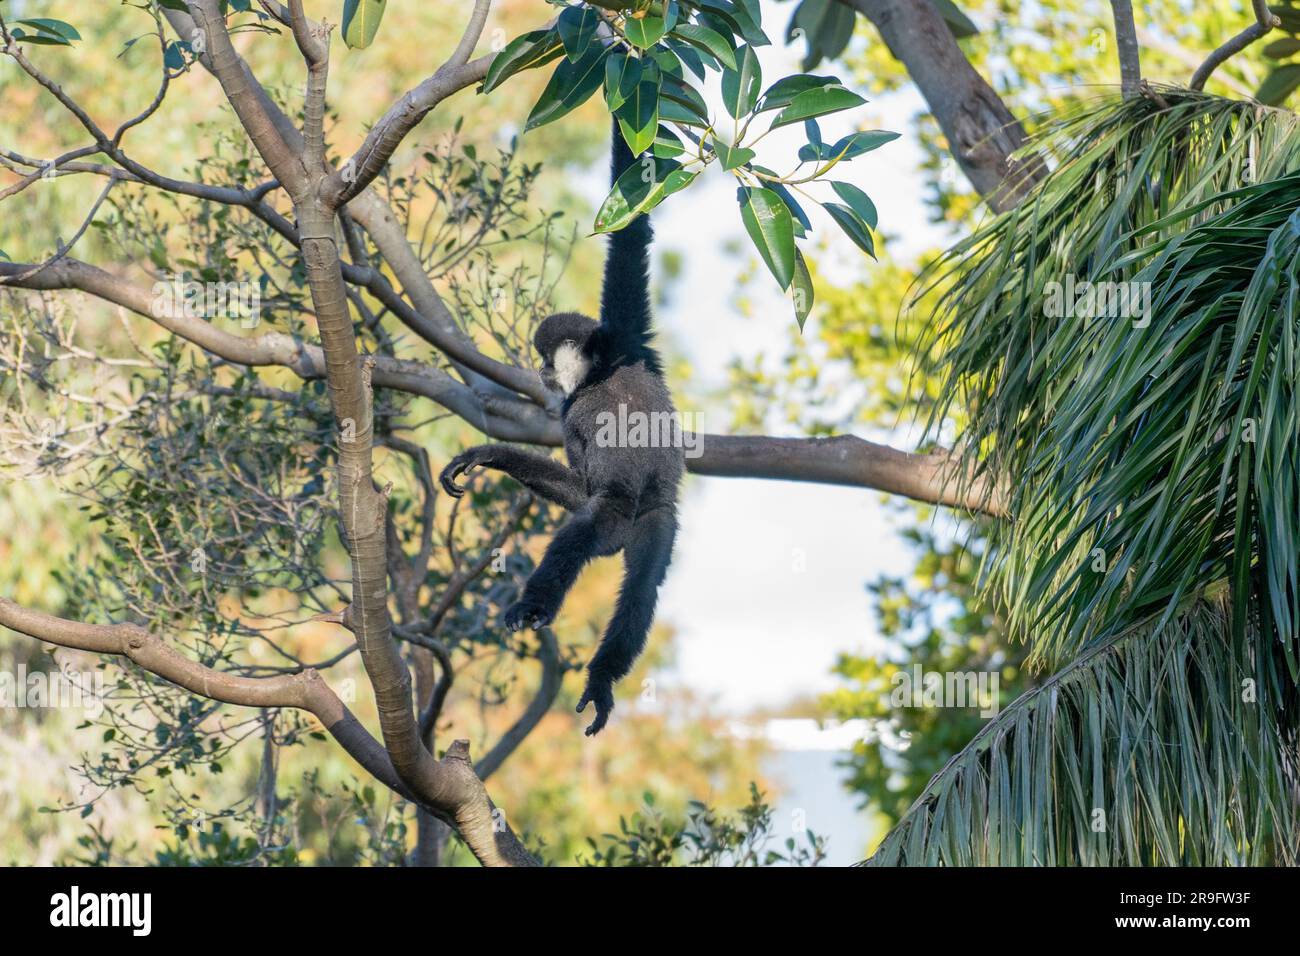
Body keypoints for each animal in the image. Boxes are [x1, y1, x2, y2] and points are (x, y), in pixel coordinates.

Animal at [439, 119, 683, 737]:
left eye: (547, 358)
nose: (542, 373)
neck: (601, 371)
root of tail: (632, 522)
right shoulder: (634, 343)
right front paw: (492, 456)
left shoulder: (623, 342)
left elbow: (629, 239)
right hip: (654, 527)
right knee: (640, 593)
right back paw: (603, 676)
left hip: (625, 515)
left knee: (583, 538)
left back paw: (536, 610)